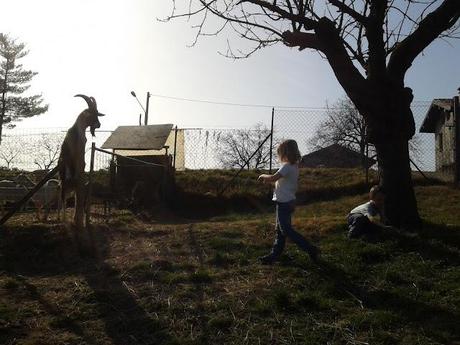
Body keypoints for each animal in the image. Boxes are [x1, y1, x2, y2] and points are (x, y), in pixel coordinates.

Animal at [58, 95, 104, 227]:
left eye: (97, 113)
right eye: (92, 114)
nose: (98, 125)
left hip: (68, 186)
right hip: (66, 183)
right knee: (63, 198)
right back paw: (64, 220)